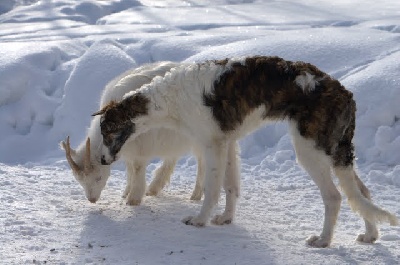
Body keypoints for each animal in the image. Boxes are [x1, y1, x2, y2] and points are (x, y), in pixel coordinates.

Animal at [61, 61, 205, 204]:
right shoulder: (128, 151)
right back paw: (154, 188)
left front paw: (133, 199)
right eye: (79, 181)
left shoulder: (140, 149)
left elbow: (137, 168)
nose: (92, 200)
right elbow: (130, 169)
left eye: (98, 177)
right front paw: (126, 193)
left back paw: (195, 195)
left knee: (201, 163)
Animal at [94, 56, 396, 248]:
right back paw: (370, 235)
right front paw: (225, 219)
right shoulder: (227, 142)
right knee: (361, 193)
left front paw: (199, 220)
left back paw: (323, 240)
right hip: (335, 152)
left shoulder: (212, 144)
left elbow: (211, 190)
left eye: (107, 132)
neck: (172, 98)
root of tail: (346, 93)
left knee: (334, 197)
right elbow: (230, 186)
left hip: (310, 151)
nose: (101, 159)